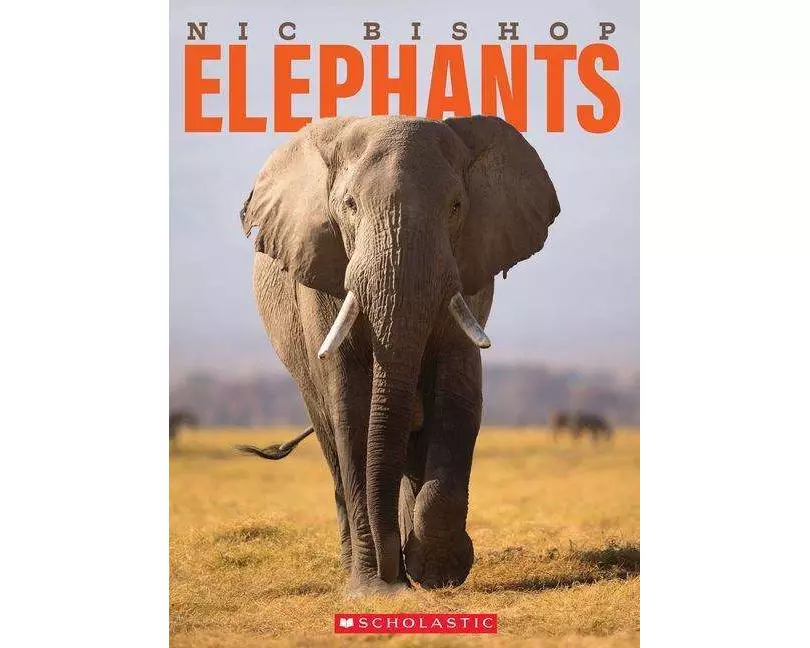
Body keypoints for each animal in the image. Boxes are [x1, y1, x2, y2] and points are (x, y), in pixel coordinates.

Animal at [239, 115, 560, 595]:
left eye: (456, 206)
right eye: (350, 205)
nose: (393, 570)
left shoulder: (468, 274)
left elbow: (458, 397)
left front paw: (438, 572)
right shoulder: (321, 277)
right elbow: (352, 409)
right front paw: (376, 589)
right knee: (333, 442)